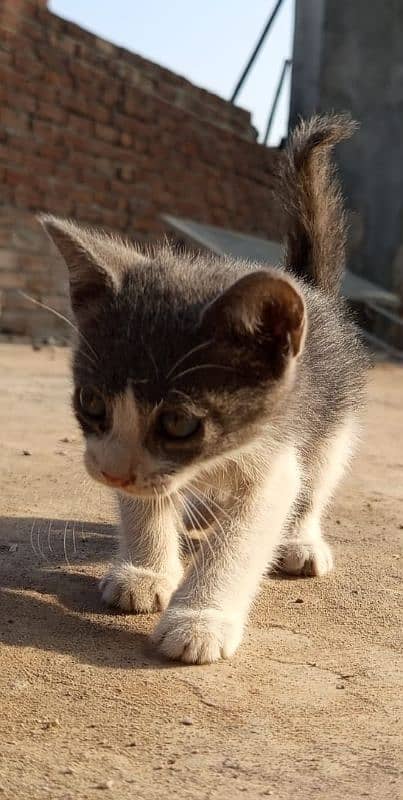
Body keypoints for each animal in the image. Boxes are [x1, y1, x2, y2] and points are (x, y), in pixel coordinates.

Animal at [41, 112, 370, 664]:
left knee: (318, 478)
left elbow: (247, 529)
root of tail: (309, 288)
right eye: (91, 402)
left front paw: (200, 619)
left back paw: (300, 541)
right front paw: (146, 570)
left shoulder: (276, 448)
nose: (111, 474)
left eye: (178, 423)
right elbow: (147, 497)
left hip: (335, 416)